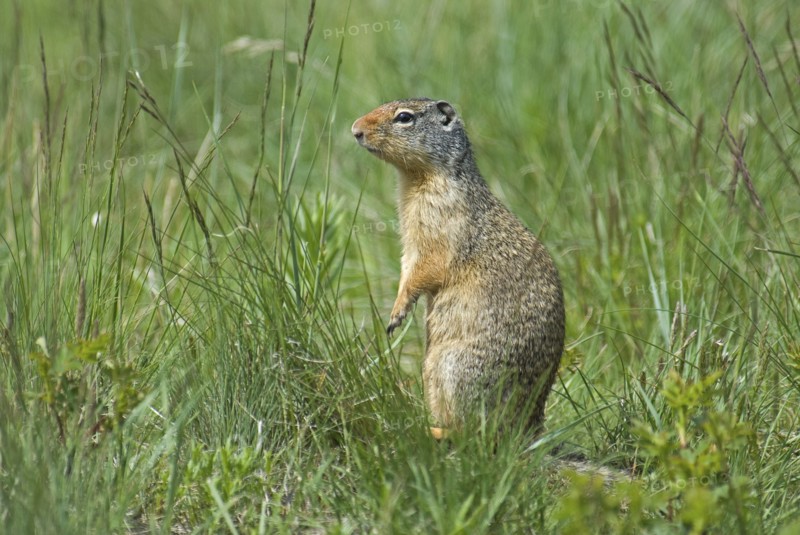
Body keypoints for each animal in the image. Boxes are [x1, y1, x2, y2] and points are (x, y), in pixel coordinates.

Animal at [351, 98, 565, 438]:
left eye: (404, 117)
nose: (355, 129)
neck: (417, 180)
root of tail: (530, 426)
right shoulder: (410, 244)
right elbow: (407, 267)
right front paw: (396, 310)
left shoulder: (442, 227)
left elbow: (427, 269)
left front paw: (397, 314)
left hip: (452, 367)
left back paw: (434, 431)